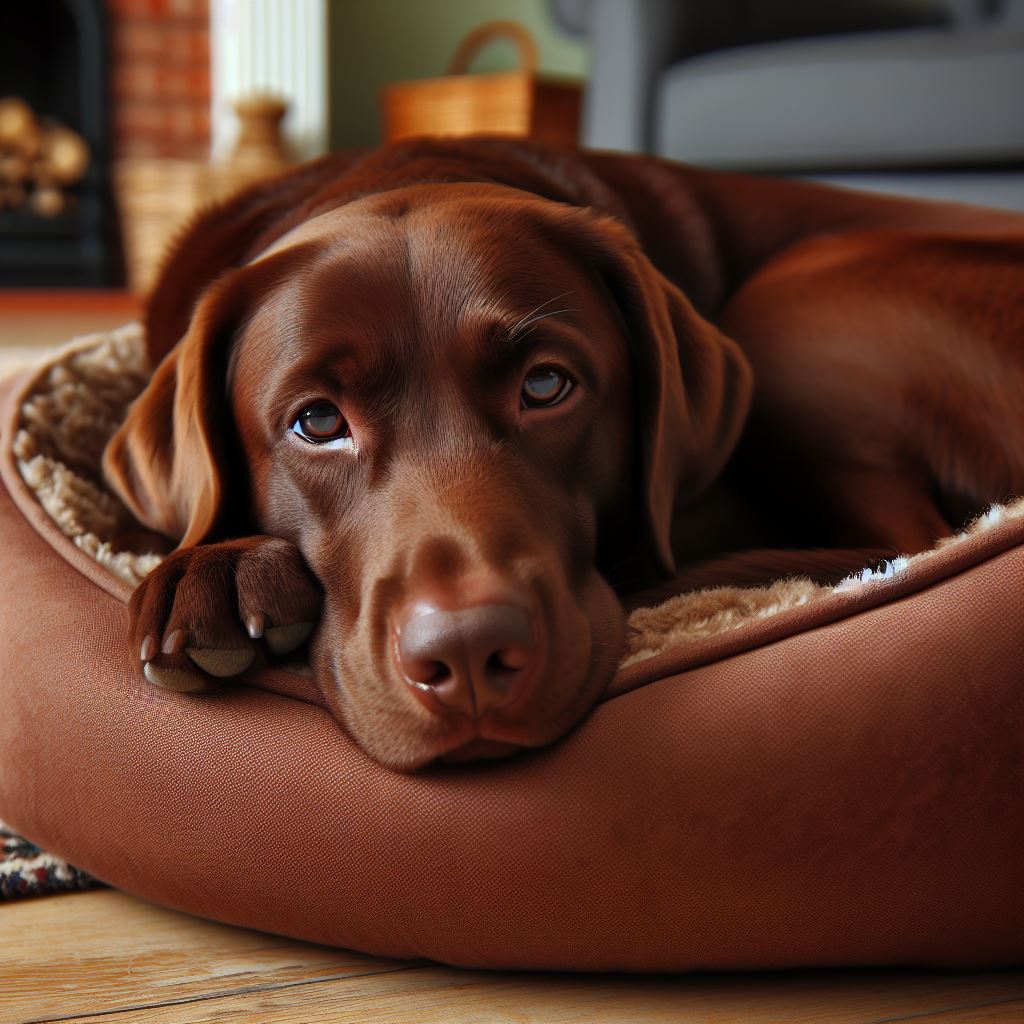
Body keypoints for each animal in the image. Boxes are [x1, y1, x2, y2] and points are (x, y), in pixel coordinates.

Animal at [105, 140, 1024, 770]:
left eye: (546, 385)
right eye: (318, 422)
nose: (467, 654)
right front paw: (216, 568)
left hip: (797, 303)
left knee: (912, 537)